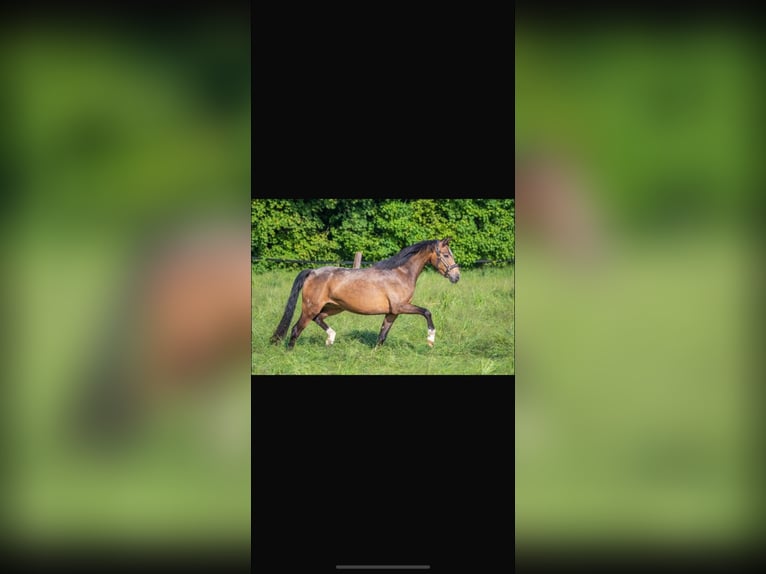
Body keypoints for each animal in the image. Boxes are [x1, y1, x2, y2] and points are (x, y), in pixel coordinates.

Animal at [270, 238, 460, 349]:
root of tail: (312, 272)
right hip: (311, 308)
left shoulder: (392, 312)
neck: (400, 274)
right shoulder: (401, 306)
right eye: (445, 255)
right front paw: (430, 339)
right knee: (296, 329)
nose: (456, 276)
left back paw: (330, 339)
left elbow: (382, 336)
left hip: (333, 307)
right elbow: (427, 312)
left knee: (318, 319)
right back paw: (290, 352)